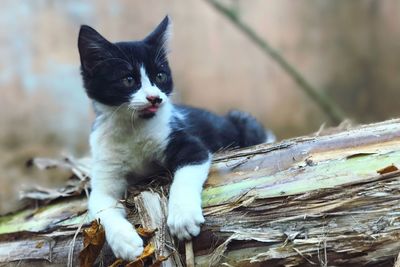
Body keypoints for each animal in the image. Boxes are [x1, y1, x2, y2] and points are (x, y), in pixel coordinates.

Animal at [76, 16, 274, 262]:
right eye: (128, 80)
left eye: (160, 76)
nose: (155, 98)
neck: (134, 128)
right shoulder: (105, 164)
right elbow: (100, 204)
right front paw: (124, 242)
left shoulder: (188, 143)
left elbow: (187, 173)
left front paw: (183, 217)